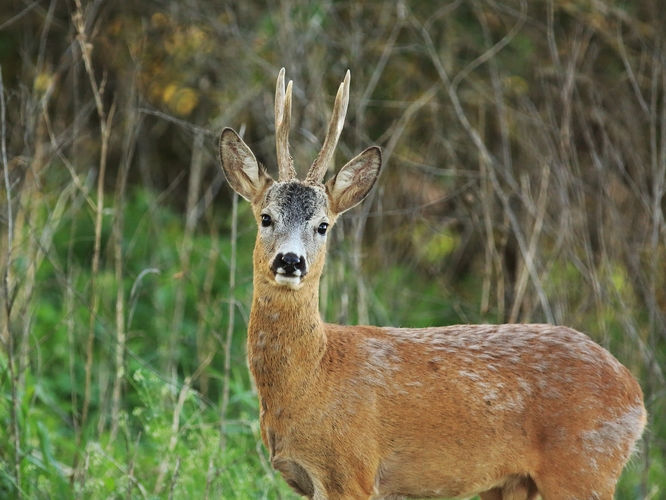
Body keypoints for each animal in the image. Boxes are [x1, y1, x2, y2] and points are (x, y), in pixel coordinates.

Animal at [217, 69, 644, 500]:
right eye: (266, 217)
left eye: (323, 225)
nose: (290, 261)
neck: (313, 376)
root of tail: (635, 393)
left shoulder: (352, 470)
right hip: (514, 483)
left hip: (584, 467)